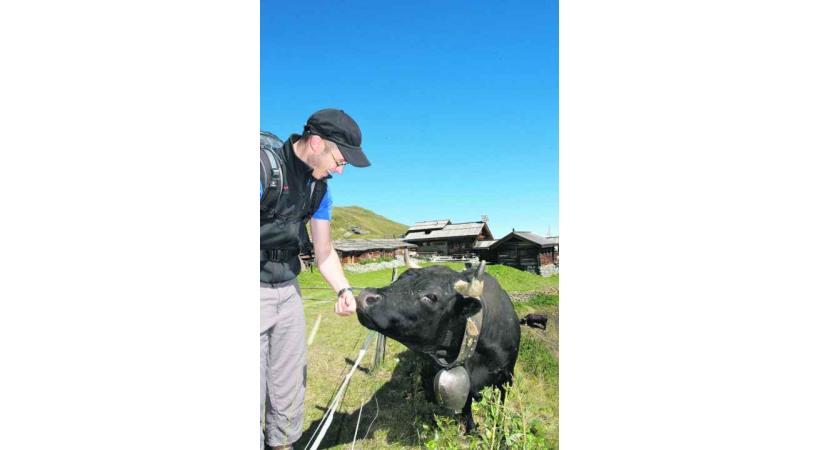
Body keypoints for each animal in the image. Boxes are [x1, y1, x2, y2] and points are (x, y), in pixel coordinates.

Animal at [352, 264, 520, 432]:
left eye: (432, 297)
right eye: (400, 277)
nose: (365, 296)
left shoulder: (507, 378)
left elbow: (501, 405)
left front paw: (499, 429)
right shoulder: (467, 381)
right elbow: (467, 407)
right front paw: (471, 428)